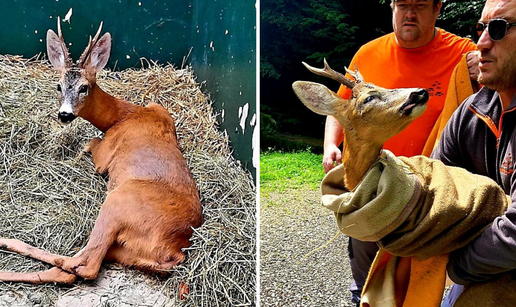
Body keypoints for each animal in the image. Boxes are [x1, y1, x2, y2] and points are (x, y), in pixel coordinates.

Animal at [0, 20, 203, 286]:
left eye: (84, 87)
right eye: (58, 86)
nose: (64, 114)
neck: (124, 114)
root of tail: (175, 252)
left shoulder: (106, 153)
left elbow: (92, 142)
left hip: (118, 201)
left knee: (82, 266)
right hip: (122, 250)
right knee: (73, 268)